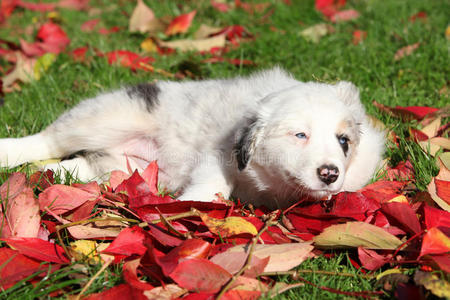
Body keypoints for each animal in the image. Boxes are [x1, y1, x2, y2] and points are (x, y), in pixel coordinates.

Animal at [0, 68, 386, 209]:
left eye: (344, 141)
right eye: (300, 135)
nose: (330, 173)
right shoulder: (217, 154)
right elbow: (215, 186)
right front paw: (190, 206)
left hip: (120, 170)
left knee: (71, 166)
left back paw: (37, 175)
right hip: (106, 117)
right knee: (48, 141)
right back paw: (10, 155)